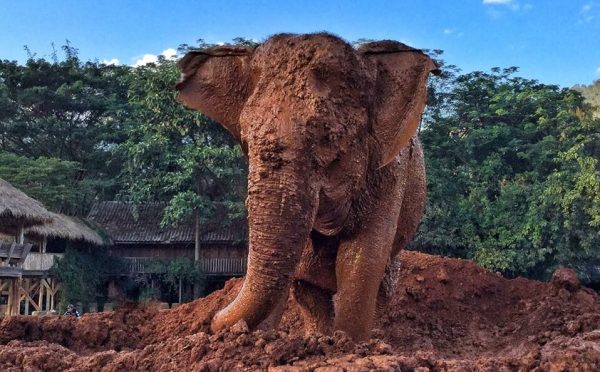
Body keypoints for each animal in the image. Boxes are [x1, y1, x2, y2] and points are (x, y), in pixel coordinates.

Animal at [176, 32, 438, 340]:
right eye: (246, 140)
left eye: (328, 139)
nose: (211, 321)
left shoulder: (389, 174)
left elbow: (360, 259)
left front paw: (348, 343)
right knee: (309, 289)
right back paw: (317, 338)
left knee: (383, 285)